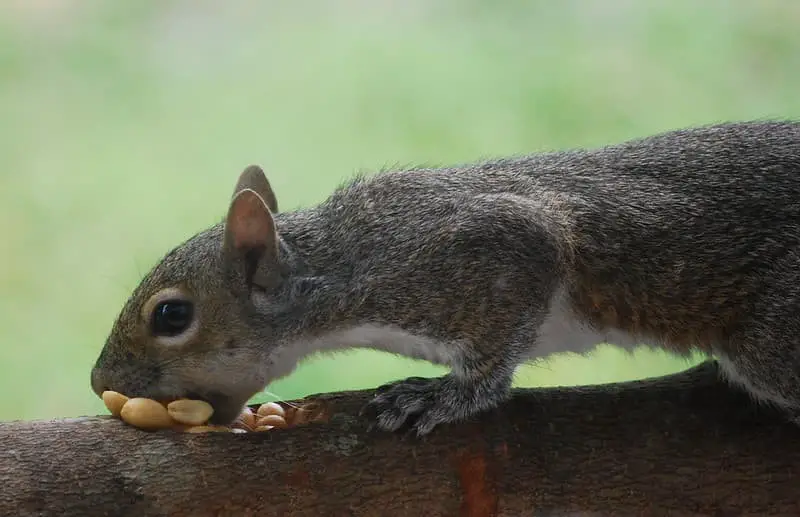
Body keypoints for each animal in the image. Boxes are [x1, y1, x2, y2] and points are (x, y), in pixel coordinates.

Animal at [90, 121, 800, 436]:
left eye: (171, 316)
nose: (99, 382)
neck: (341, 268)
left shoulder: (477, 256)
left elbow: (493, 363)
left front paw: (439, 397)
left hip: (773, 344)